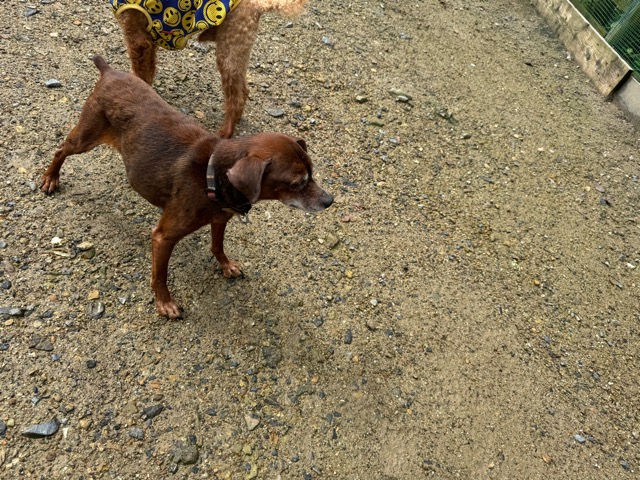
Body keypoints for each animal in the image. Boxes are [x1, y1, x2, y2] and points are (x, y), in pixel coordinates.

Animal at [41, 55, 333, 319]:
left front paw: (226, 266)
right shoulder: (163, 237)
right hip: (86, 136)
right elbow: (160, 276)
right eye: (297, 183)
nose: (329, 201)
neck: (211, 176)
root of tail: (110, 72)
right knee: (61, 149)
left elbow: (217, 247)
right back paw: (50, 178)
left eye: (312, 174)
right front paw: (165, 304)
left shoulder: (220, 219)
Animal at [111, 0, 307, 138]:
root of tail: (257, 5)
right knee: (243, 91)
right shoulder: (147, 40)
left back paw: (225, 132)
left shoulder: (137, 38)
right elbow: (148, 71)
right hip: (238, 49)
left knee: (235, 97)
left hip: (229, 48)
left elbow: (140, 72)